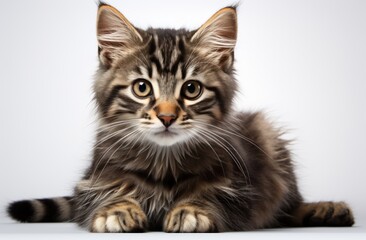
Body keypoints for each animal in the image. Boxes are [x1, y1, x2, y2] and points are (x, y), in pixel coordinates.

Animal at [6, 3, 354, 232]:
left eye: (191, 89)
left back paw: (327, 210)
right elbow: (108, 194)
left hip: (267, 138)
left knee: (288, 207)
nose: (167, 117)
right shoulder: (92, 181)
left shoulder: (240, 189)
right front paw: (118, 209)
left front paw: (192, 210)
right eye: (142, 88)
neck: (163, 162)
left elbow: (210, 194)